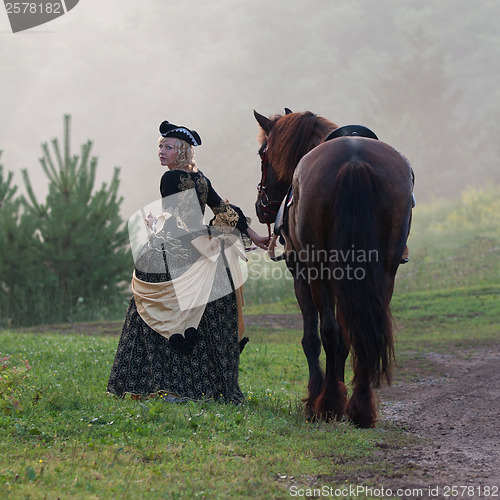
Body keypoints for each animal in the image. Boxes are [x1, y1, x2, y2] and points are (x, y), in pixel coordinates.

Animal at [254, 108, 414, 426]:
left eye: (262, 152)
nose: (259, 206)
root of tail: (354, 161)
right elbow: (345, 335)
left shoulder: (302, 274)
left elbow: (314, 338)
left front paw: (316, 397)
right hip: (384, 272)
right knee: (362, 331)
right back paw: (361, 407)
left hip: (319, 273)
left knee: (328, 331)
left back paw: (327, 403)